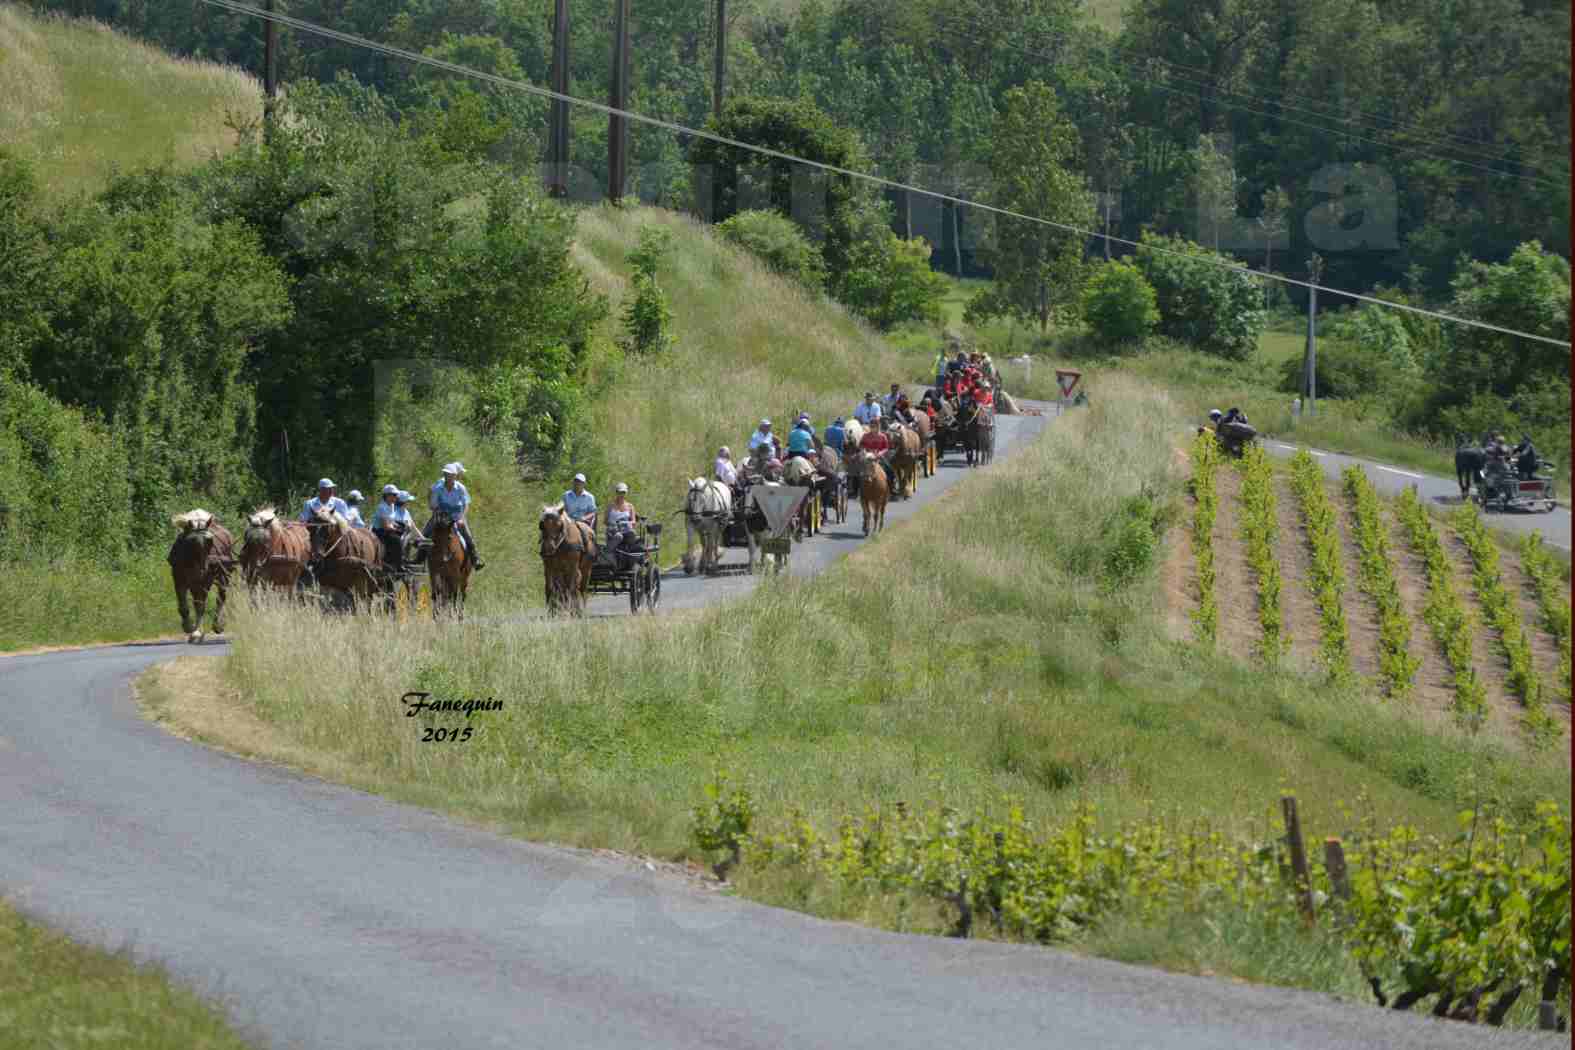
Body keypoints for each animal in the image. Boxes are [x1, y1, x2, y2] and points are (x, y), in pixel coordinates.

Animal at [171, 510, 236, 642]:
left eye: (210, 541)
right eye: (191, 541)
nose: (204, 568)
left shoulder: (204, 582)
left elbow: (201, 606)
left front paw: (196, 632)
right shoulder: (179, 579)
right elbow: (184, 605)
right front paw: (188, 627)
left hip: (223, 576)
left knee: (220, 598)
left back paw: (217, 625)